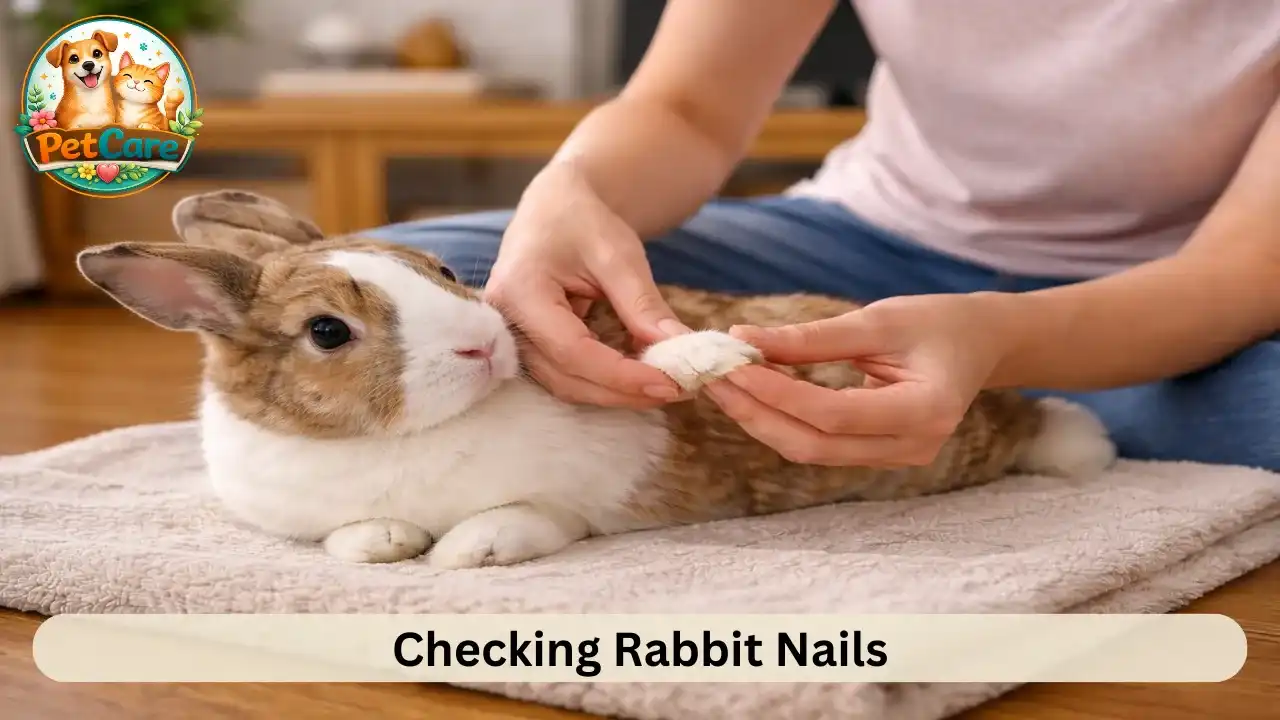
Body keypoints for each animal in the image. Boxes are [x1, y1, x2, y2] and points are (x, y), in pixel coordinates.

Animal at [74, 189, 1118, 569]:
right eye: (327, 332)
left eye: (441, 271)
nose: (484, 345)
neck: (400, 441)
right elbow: (355, 540)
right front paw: (392, 546)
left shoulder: (587, 455)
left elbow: (539, 502)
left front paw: (466, 554)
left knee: (1032, 427)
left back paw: (1090, 447)